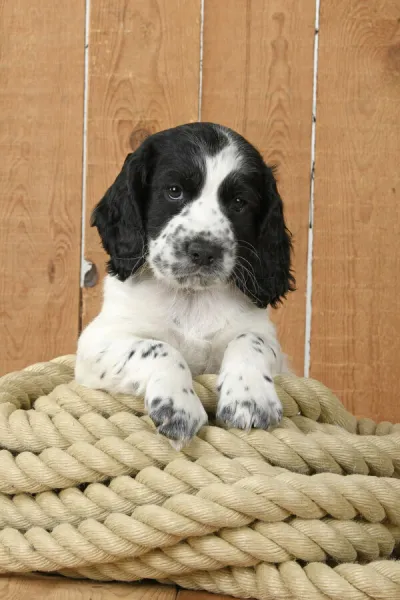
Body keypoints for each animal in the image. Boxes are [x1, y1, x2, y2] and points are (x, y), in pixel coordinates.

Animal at [76, 123, 294, 450]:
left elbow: (250, 340)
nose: (204, 251)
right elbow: (157, 347)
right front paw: (178, 406)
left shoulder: (268, 341)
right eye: (174, 191)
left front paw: (251, 398)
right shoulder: (95, 344)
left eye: (239, 202)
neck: (191, 297)